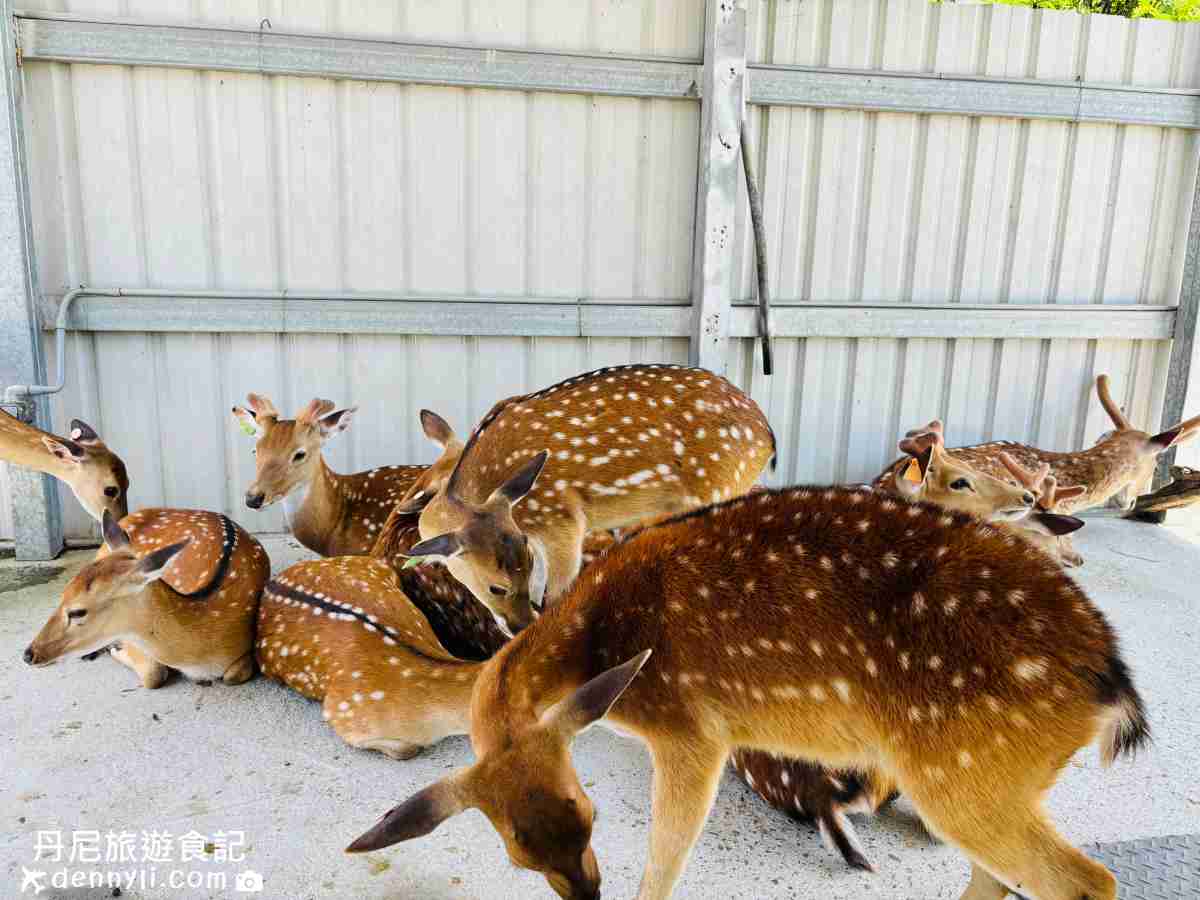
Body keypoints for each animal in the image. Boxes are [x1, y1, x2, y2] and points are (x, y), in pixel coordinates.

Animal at [24, 508, 270, 691]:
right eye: (62, 595)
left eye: (78, 611)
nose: (28, 654)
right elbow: (154, 673)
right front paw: (115, 649)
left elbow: (234, 674)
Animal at [345, 487, 1142, 900]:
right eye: (516, 854)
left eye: (590, 812)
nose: (587, 892)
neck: (596, 638)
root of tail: (1113, 688)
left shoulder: (692, 728)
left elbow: (665, 859)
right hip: (996, 779)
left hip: (964, 771)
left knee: (1088, 881)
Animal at [405, 364, 777, 633]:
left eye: (499, 586)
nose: (519, 626)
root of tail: (768, 436)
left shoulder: (562, 518)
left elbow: (558, 594)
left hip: (719, 484)